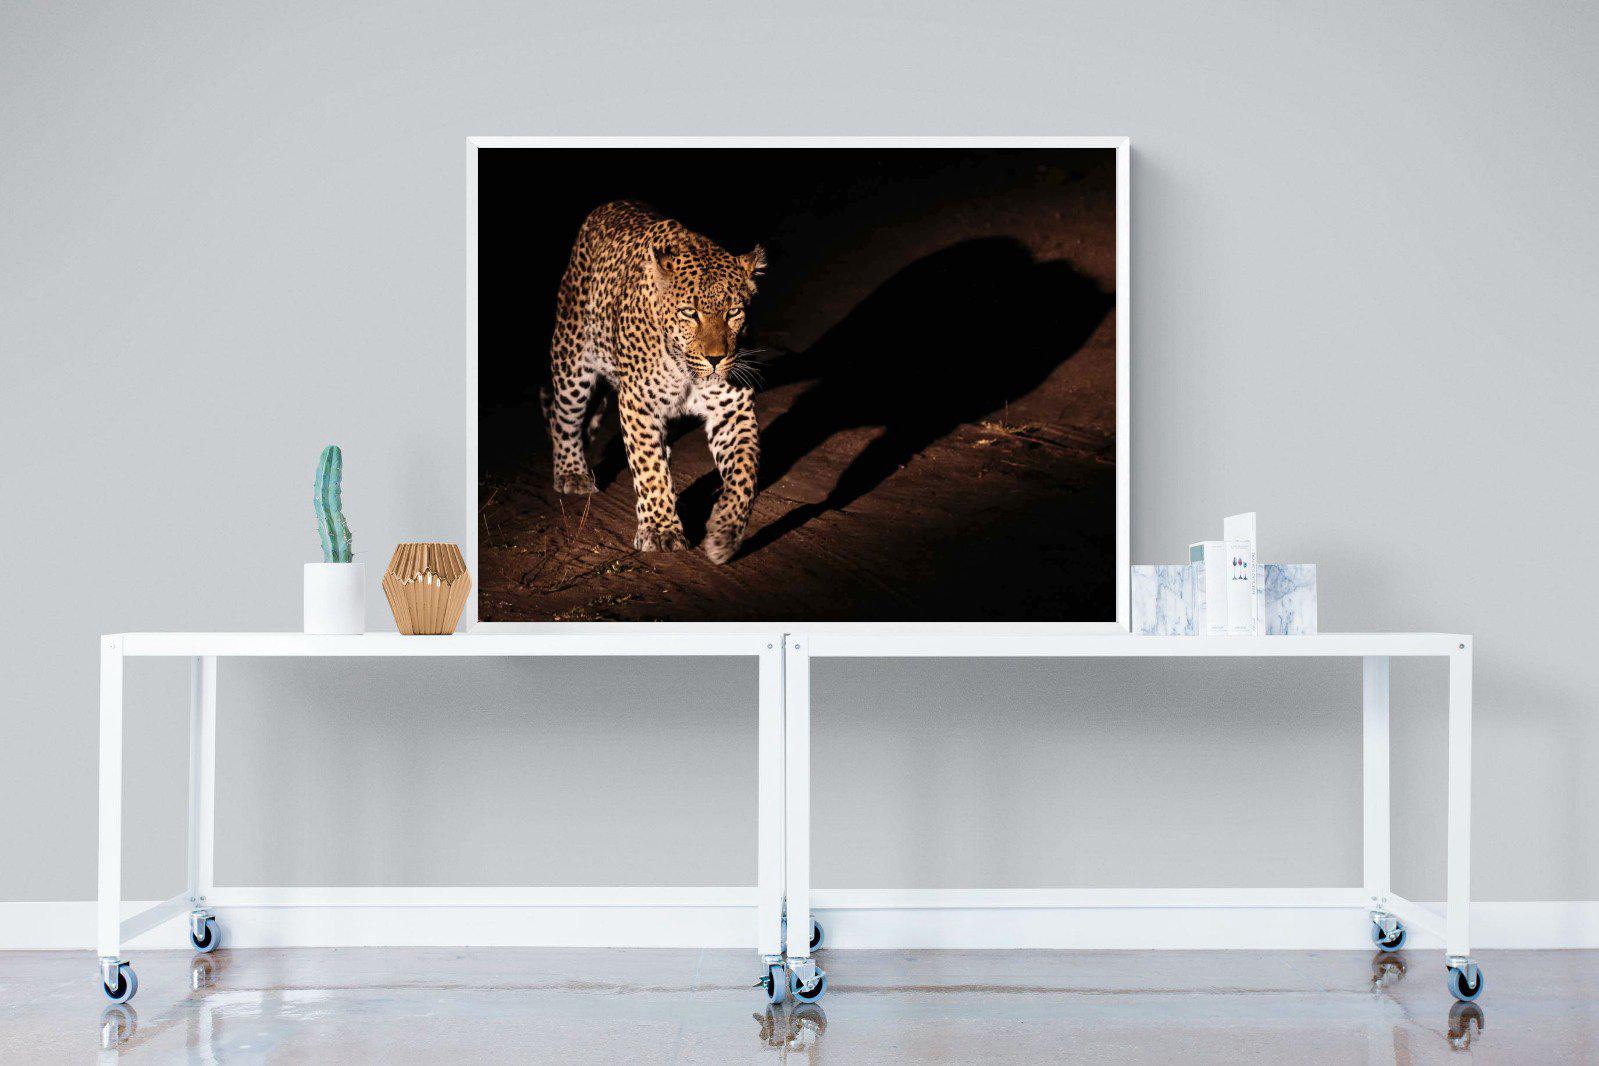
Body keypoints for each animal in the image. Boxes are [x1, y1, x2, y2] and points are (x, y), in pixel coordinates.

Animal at [543, 200, 767, 564]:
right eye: (689, 313)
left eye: (734, 312)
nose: (716, 359)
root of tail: (609, 205)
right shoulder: (639, 404)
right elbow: (648, 468)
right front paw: (661, 530)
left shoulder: (732, 410)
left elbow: (745, 473)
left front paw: (725, 532)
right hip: (572, 359)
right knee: (562, 418)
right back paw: (571, 473)